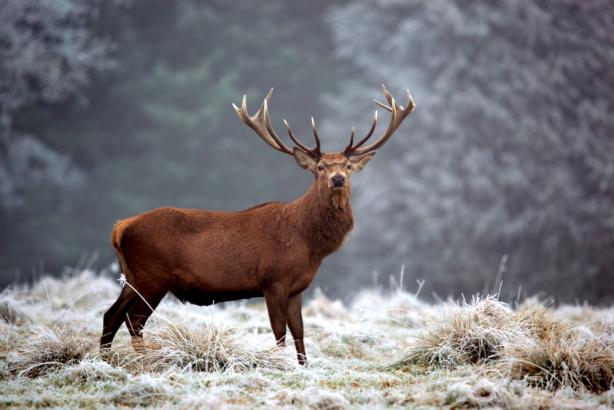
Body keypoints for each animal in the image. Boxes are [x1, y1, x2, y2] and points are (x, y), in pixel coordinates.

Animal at [101, 84, 416, 366]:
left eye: (348, 167)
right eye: (320, 168)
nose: (337, 179)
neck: (309, 242)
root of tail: (119, 227)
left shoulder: (297, 287)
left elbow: (299, 332)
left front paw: (304, 367)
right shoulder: (272, 279)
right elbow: (279, 332)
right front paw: (279, 364)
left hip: (133, 277)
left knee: (111, 315)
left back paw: (104, 360)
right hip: (153, 276)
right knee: (133, 321)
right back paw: (143, 360)